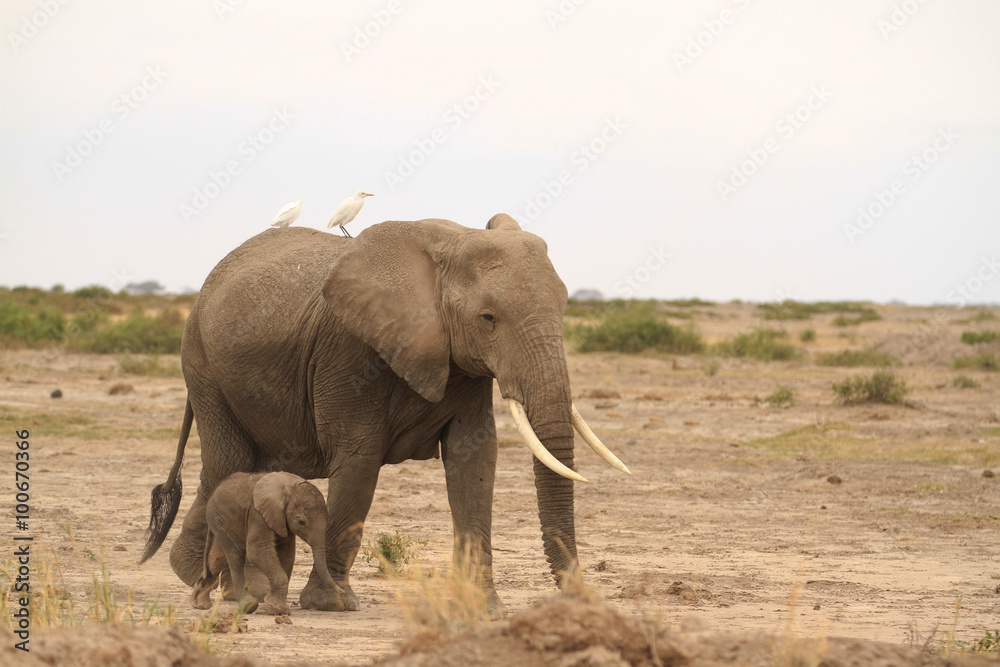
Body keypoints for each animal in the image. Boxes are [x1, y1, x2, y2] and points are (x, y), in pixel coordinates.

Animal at [189, 470, 342, 616]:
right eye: (301, 522)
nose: (342, 592)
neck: (290, 488)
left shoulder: (281, 519)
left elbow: (286, 553)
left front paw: (273, 605)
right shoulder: (257, 513)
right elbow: (257, 551)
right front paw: (278, 609)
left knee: (218, 558)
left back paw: (199, 603)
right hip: (218, 517)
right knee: (236, 554)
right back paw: (248, 606)